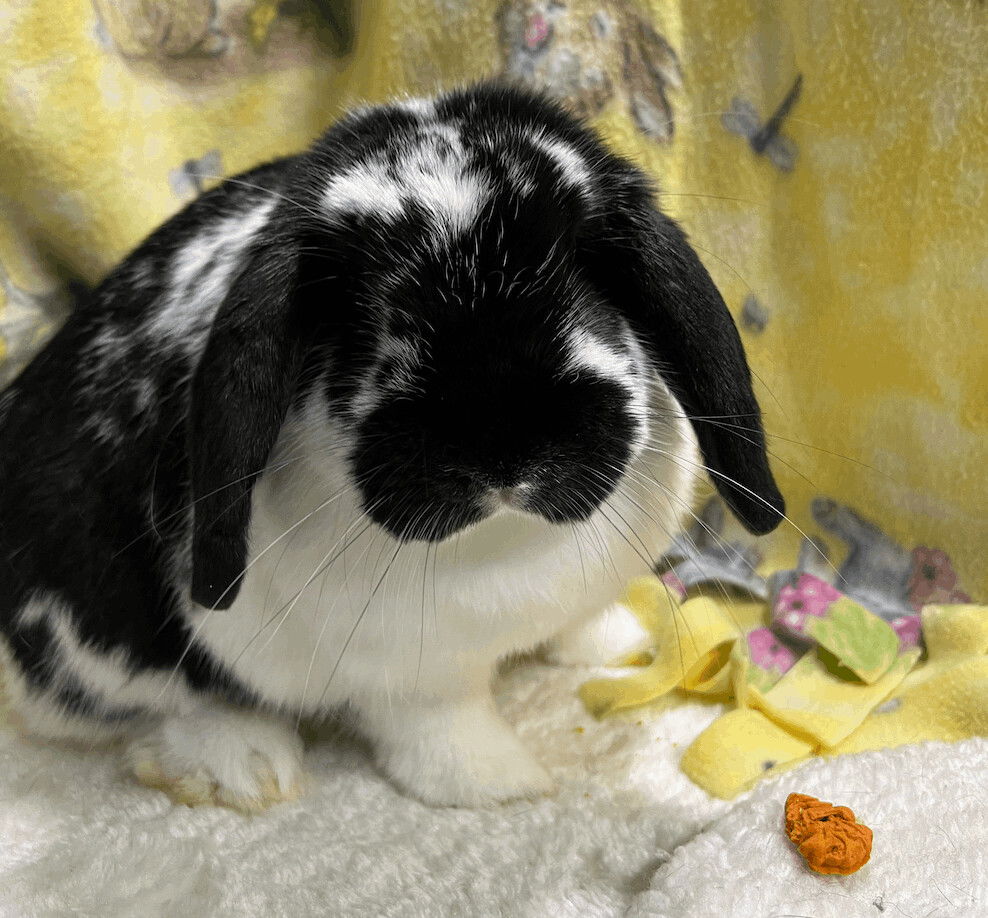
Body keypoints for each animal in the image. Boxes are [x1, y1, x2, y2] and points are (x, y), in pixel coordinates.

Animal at [1, 82, 788, 808]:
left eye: (588, 269)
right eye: (359, 307)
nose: (503, 448)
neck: (506, 536)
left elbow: (579, 624)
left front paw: (618, 644)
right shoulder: (415, 679)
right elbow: (443, 729)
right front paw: (505, 785)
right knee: (135, 711)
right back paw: (244, 766)